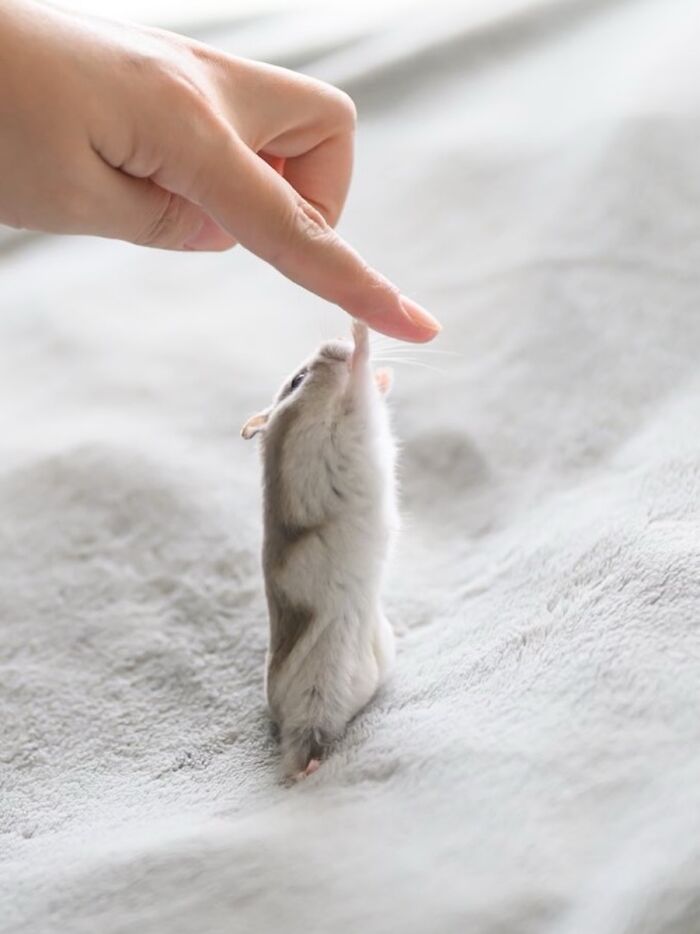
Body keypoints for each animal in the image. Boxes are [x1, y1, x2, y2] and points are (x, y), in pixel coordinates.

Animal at [241, 321, 398, 780]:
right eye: (297, 380)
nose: (332, 344)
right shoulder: (344, 430)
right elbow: (358, 392)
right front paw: (359, 334)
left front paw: (383, 376)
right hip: (315, 698)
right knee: (303, 746)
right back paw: (304, 771)